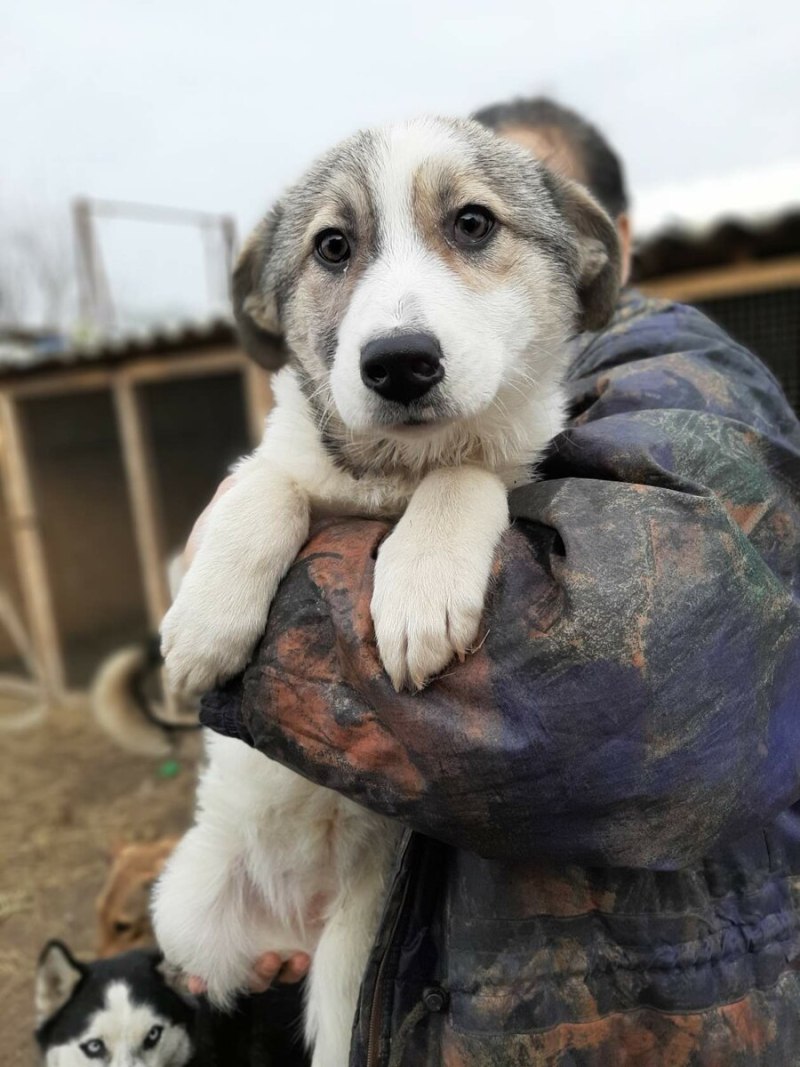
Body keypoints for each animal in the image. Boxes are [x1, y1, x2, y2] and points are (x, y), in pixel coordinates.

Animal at [155, 116, 621, 1066]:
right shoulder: (271, 469)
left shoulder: (505, 466)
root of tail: (290, 924)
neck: (394, 478)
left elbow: (467, 475)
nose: (398, 363)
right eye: (333, 246)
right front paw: (207, 626)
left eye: (474, 224)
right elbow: (265, 484)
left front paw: (421, 583)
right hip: (183, 911)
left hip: (348, 964)